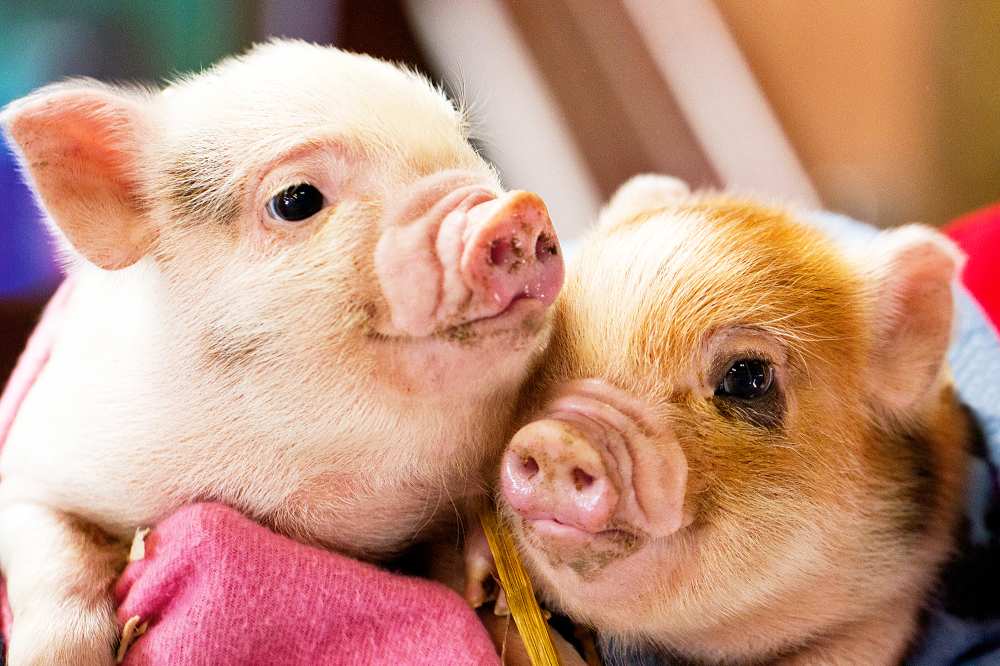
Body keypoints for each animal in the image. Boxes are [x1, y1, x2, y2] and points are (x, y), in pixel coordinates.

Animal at [0, 40, 564, 665]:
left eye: (469, 148)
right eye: (295, 200)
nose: (517, 209)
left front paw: (485, 582)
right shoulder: (35, 464)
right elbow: (53, 554)